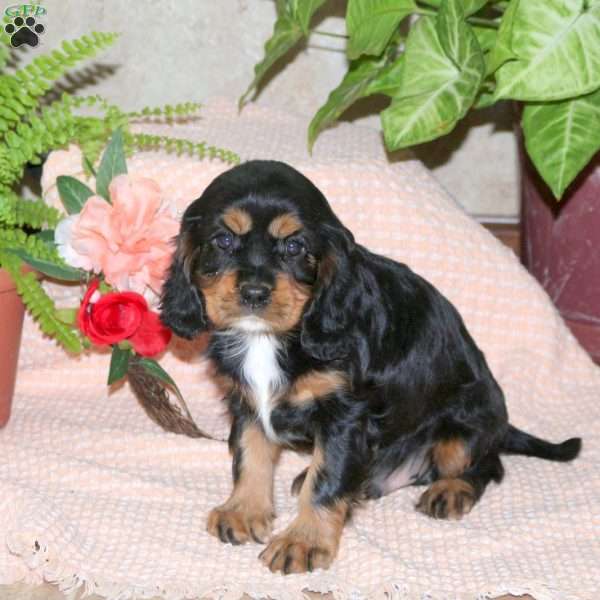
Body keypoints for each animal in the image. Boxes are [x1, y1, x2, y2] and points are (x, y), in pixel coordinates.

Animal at [161, 162, 580, 576]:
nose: (253, 293)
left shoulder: (346, 414)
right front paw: (244, 511)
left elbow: (326, 478)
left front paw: (304, 541)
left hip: (463, 429)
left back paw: (450, 490)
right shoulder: (248, 401)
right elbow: (251, 455)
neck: (270, 337)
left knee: (487, 464)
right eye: (222, 241)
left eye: (294, 247)